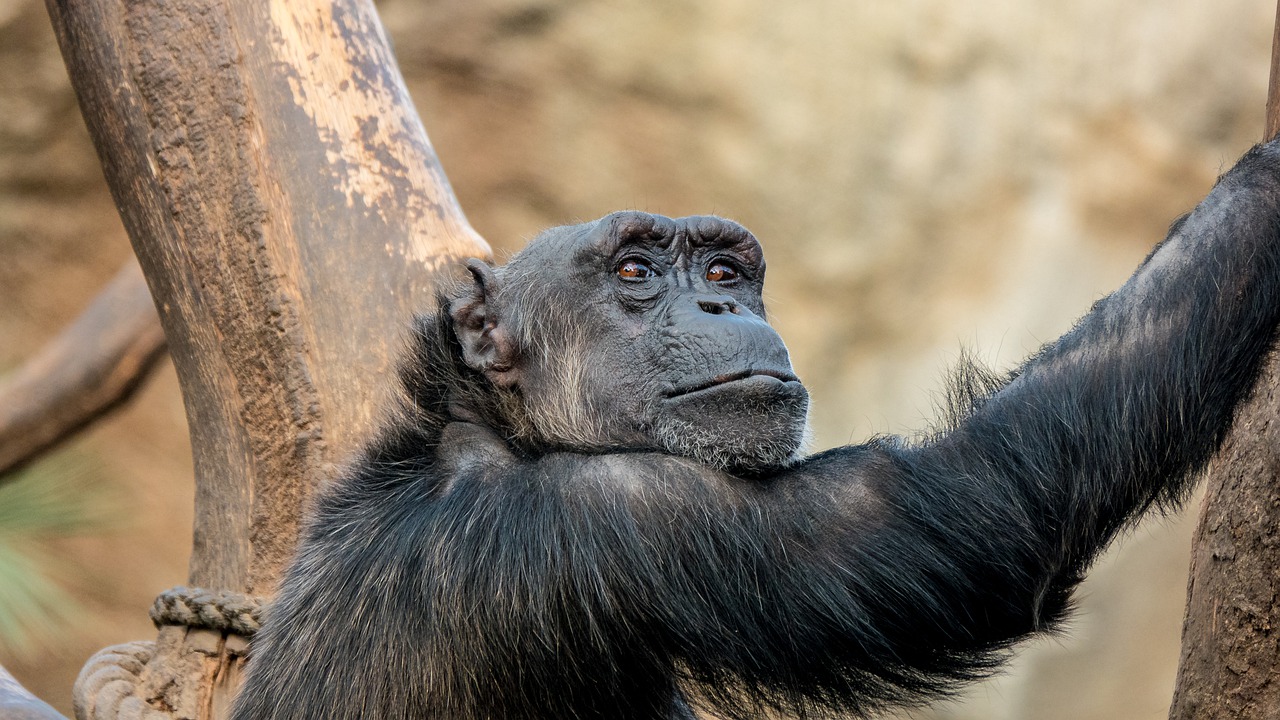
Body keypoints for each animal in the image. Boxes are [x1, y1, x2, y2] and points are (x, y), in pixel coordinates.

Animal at [231, 139, 1280, 719]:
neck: (500, 433)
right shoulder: (611, 514)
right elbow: (965, 510)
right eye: (635, 273)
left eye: (724, 272)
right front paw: (1267, 179)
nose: (723, 307)